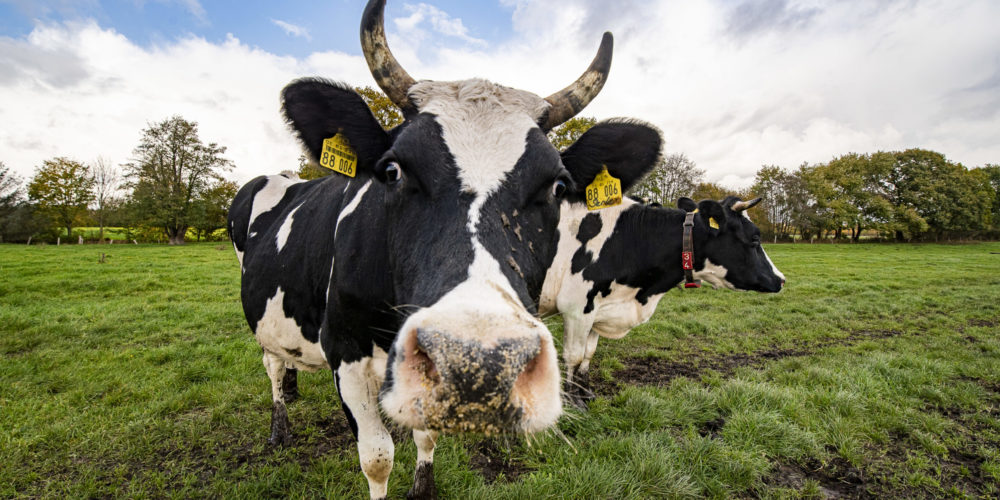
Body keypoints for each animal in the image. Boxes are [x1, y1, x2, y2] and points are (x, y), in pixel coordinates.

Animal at [228, 1, 664, 498]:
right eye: (392, 170)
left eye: (557, 186)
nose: (480, 363)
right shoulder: (345, 352)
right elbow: (376, 458)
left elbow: (427, 435)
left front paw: (424, 485)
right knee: (271, 363)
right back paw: (280, 425)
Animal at [536, 193, 784, 404]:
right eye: (754, 238)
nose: (781, 280)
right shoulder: (577, 309)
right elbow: (574, 357)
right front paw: (572, 401)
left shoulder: (601, 308)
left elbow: (588, 354)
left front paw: (586, 393)